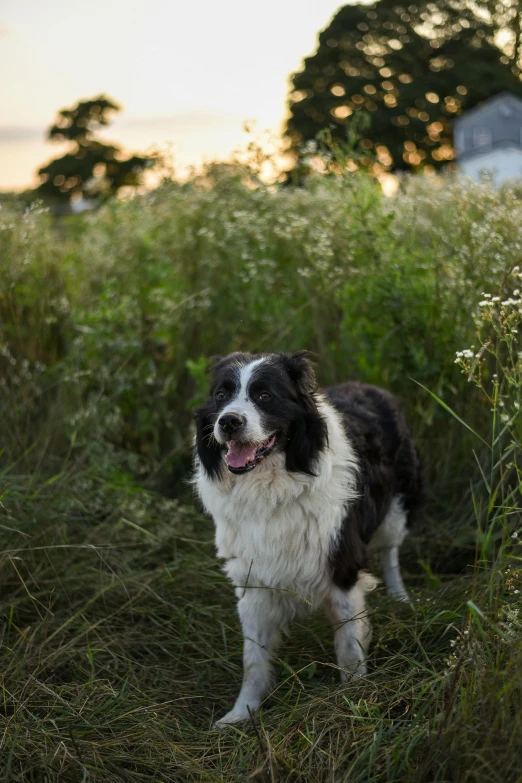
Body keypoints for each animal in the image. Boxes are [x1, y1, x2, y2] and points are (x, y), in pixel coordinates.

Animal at [193, 352, 420, 724]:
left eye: (265, 395)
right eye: (220, 395)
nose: (228, 422)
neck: (275, 484)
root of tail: (371, 387)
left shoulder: (342, 566)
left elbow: (349, 647)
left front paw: (353, 700)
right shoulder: (252, 578)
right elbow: (253, 659)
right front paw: (242, 714)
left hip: (396, 509)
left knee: (390, 552)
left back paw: (400, 596)